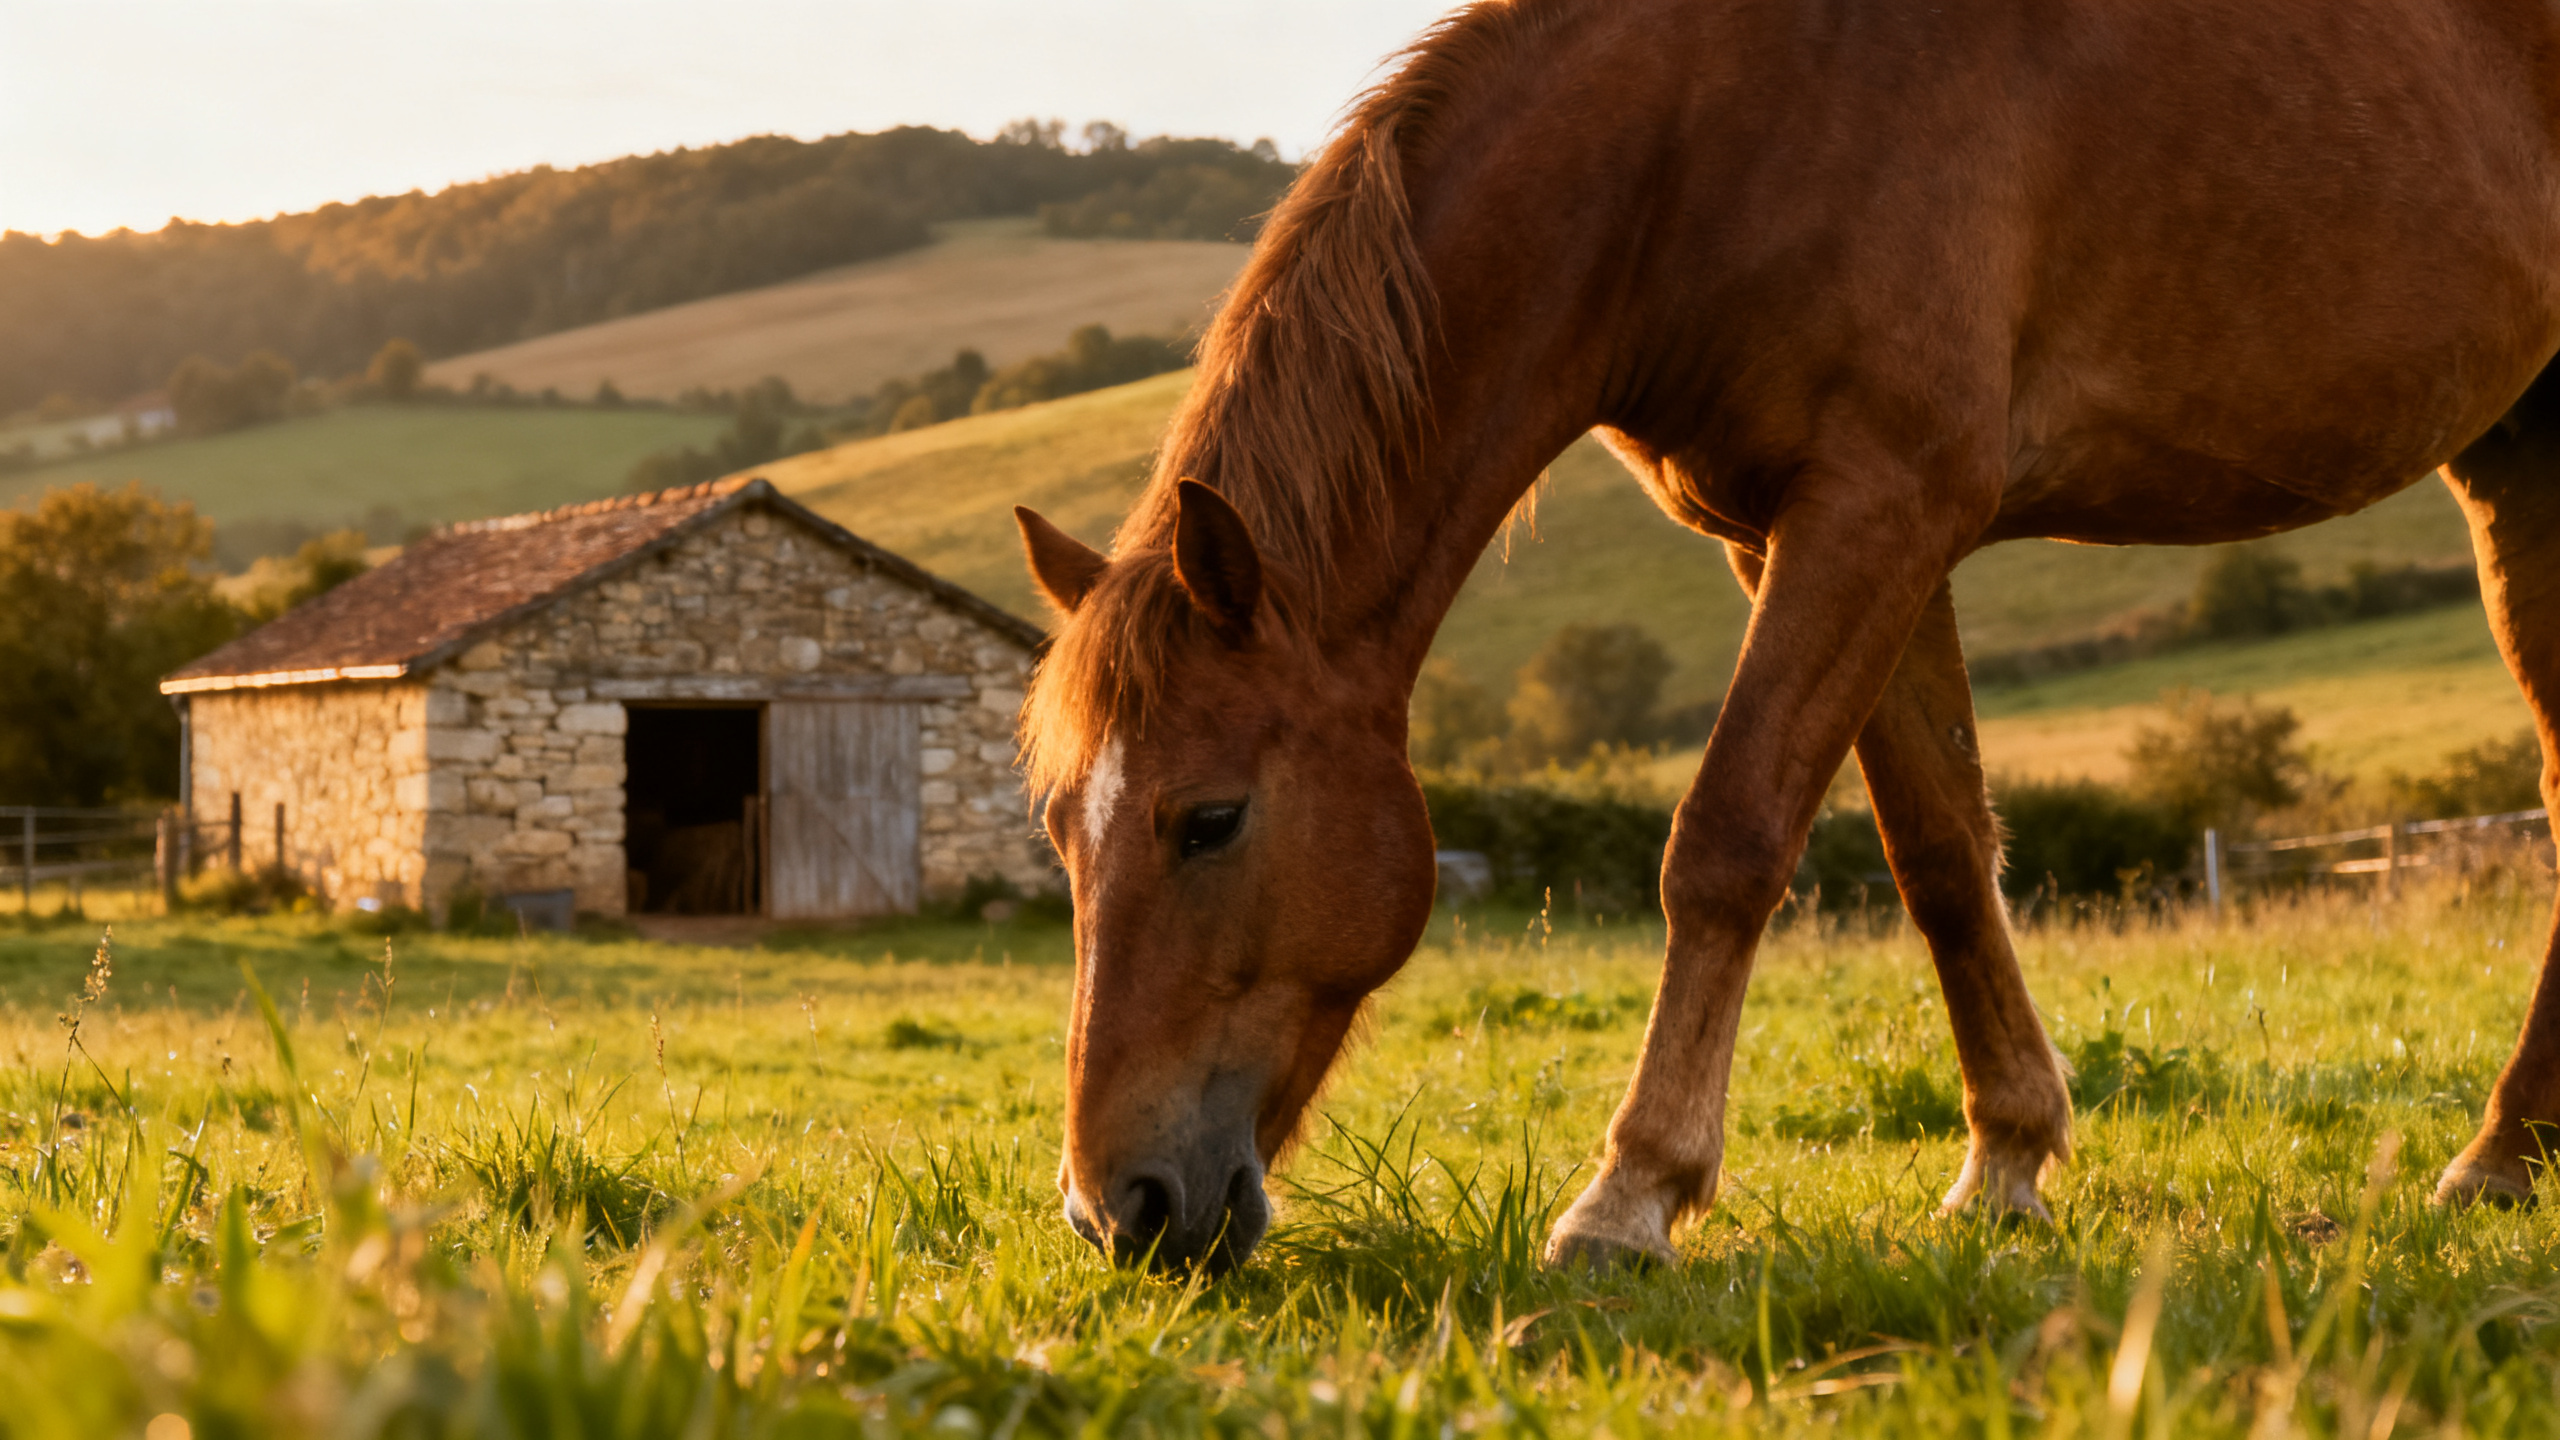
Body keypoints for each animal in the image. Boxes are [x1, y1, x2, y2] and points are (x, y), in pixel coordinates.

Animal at [1010, 0, 2560, 1272]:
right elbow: (1941, 854)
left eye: (1209, 820)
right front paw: (2007, 1162)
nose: (1114, 1209)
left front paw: (1631, 1195)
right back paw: (2505, 1156)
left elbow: (1727, 840)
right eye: (1062, 834)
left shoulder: (1879, 504)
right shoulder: (1809, 535)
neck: (1713, 128)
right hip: (2515, 459)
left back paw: (2495, 1153)